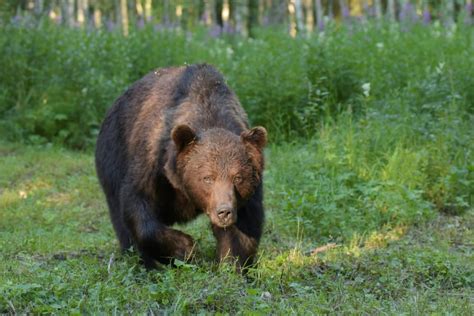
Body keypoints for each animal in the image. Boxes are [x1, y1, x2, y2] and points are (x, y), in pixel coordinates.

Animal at [95, 63, 266, 270]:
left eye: (238, 177)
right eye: (207, 177)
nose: (224, 211)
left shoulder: (248, 190)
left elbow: (243, 229)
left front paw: (231, 265)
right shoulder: (153, 160)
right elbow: (137, 205)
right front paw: (185, 248)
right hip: (113, 153)